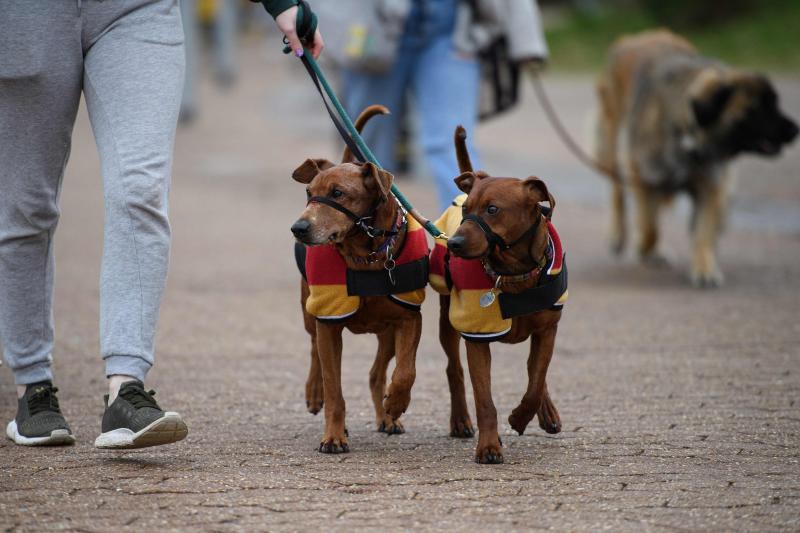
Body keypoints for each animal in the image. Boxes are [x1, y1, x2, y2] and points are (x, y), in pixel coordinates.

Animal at [288, 105, 428, 454]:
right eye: (309, 193)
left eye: (338, 193)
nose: (298, 228)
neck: (367, 257)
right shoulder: (329, 323)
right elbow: (334, 387)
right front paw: (334, 435)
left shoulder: (409, 319)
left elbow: (406, 370)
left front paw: (396, 402)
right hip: (310, 309)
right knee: (314, 349)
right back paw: (314, 392)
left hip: (386, 331)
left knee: (377, 373)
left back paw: (387, 416)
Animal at [432, 128, 568, 462]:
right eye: (466, 210)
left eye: (493, 209)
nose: (453, 243)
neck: (514, 273)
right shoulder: (477, 339)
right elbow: (485, 400)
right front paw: (489, 446)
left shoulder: (548, 329)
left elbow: (536, 382)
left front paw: (521, 417)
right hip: (446, 322)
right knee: (454, 369)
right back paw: (460, 420)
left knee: (536, 371)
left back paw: (547, 412)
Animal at [596, 29, 796, 286]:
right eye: (757, 108)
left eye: (776, 103)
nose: (795, 129)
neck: (688, 132)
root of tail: (639, 36)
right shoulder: (642, 174)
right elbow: (650, 226)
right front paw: (645, 247)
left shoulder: (709, 185)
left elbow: (702, 231)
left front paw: (705, 269)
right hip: (612, 144)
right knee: (618, 193)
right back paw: (619, 236)